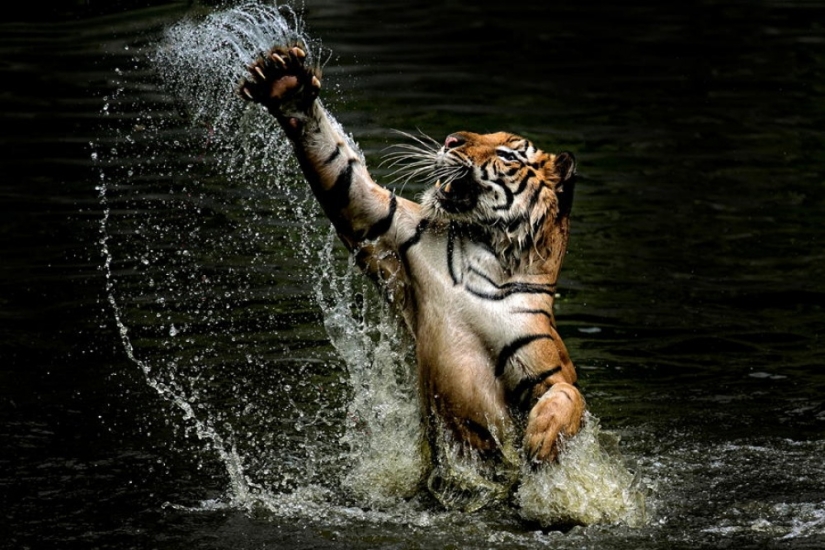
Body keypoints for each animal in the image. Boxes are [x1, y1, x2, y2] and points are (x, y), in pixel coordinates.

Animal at [238, 43, 585, 496]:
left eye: (507, 153)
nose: (451, 139)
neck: (485, 254)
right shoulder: (386, 223)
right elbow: (342, 170)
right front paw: (286, 83)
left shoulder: (548, 365)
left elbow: (568, 396)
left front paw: (542, 438)